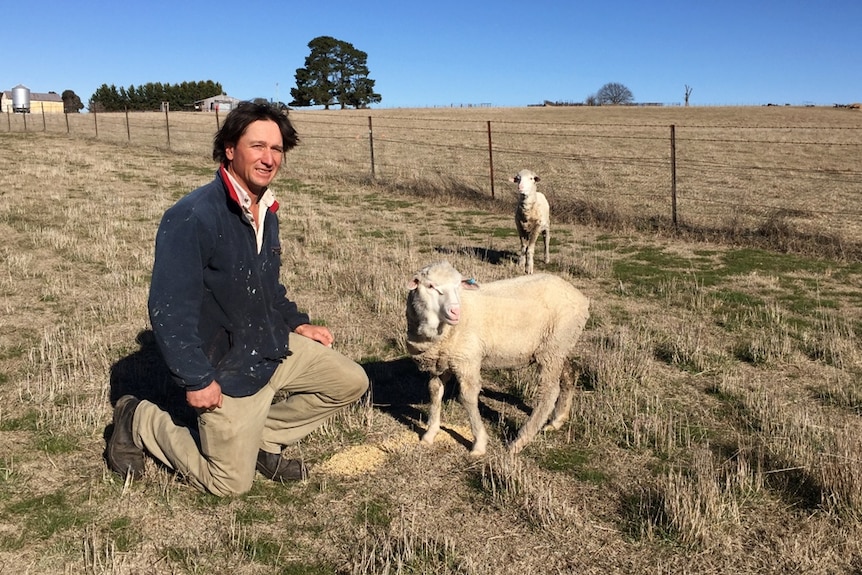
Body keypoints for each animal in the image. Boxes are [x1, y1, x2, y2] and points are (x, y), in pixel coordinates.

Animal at [408, 264, 592, 456]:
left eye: (458, 286)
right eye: (430, 286)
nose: (455, 311)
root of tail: (580, 298)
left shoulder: (467, 360)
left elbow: (467, 398)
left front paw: (479, 444)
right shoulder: (440, 363)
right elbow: (434, 391)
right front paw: (429, 434)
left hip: (552, 348)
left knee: (549, 392)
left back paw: (520, 441)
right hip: (561, 346)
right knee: (570, 373)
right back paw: (557, 421)